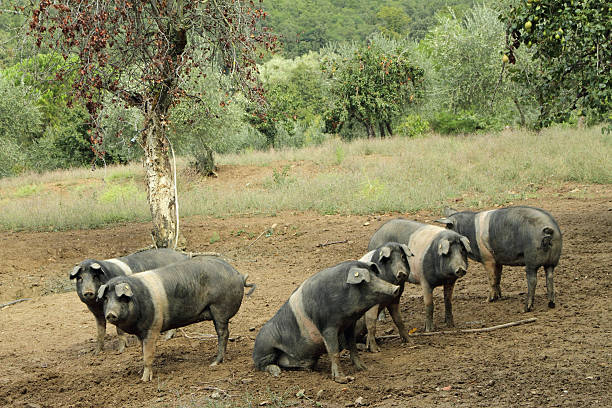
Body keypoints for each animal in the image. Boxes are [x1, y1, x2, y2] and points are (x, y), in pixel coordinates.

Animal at [95, 256, 253, 380]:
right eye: (106, 299)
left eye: (121, 298)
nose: (110, 314)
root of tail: (238, 275)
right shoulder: (141, 333)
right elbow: (143, 352)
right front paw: (140, 373)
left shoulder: (153, 327)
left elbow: (148, 355)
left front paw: (144, 380)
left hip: (219, 308)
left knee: (223, 333)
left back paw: (214, 363)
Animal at [252, 258, 402, 382]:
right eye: (366, 281)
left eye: (375, 275)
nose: (396, 288)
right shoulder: (327, 326)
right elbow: (333, 351)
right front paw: (344, 379)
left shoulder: (350, 324)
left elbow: (352, 346)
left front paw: (364, 368)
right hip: (264, 347)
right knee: (262, 365)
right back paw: (276, 372)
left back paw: (305, 369)